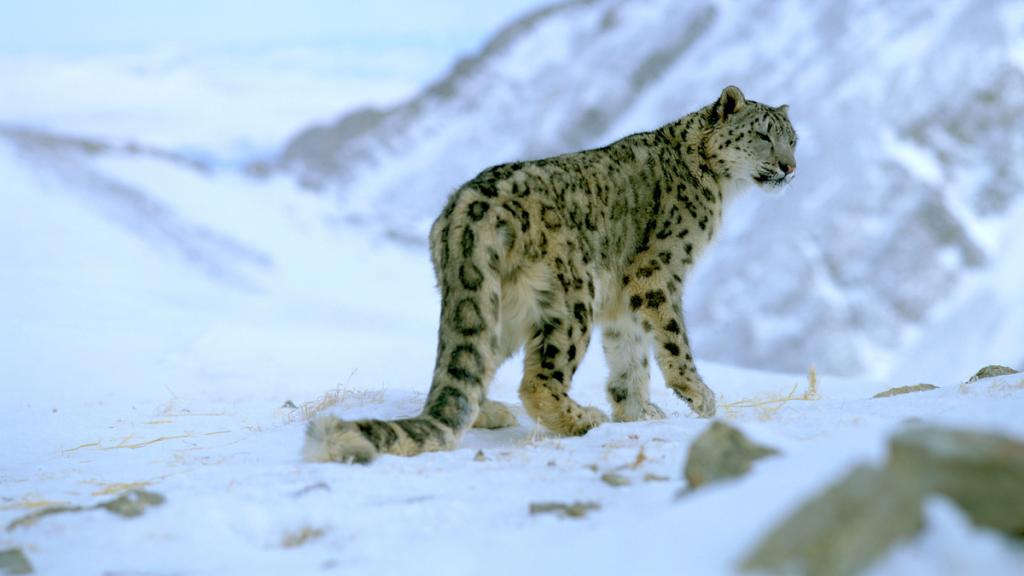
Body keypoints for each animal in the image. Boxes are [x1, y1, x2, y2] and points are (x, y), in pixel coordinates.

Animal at [304, 86, 797, 463]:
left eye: (793, 140)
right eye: (762, 136)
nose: (790, 167)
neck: (718, 187)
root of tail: (466, 210)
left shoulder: (622, 298)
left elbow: (629, 353)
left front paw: (637, 410)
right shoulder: (658, 273)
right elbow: (673, 339)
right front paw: (700, 396)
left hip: (497, 306)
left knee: (471, 366)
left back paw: (492, 412)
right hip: (572, 297)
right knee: (539, 380)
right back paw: (582, 418)